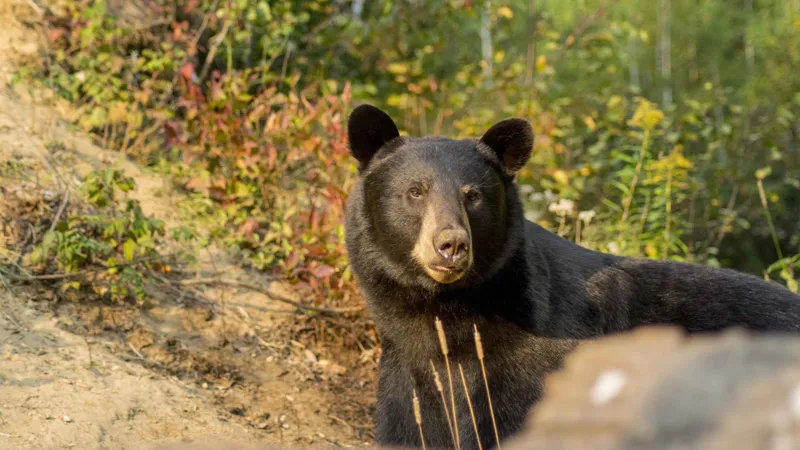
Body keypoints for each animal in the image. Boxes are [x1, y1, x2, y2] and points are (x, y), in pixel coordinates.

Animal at [343, 104, 800, 450]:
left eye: (473, 195)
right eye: (415, 192)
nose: (451, 244)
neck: (445, 313)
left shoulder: (535, 366)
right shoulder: (408, 376)